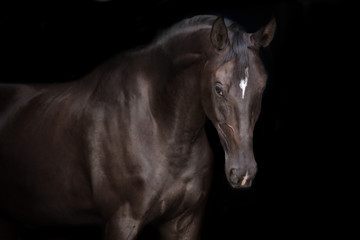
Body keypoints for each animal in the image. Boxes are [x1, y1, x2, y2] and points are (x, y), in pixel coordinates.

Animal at [0, 15, 276, 240]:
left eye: (262, 87)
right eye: (218, 88)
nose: (243, 172)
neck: (162, 128)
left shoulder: (184, 223)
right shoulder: (122, 222)